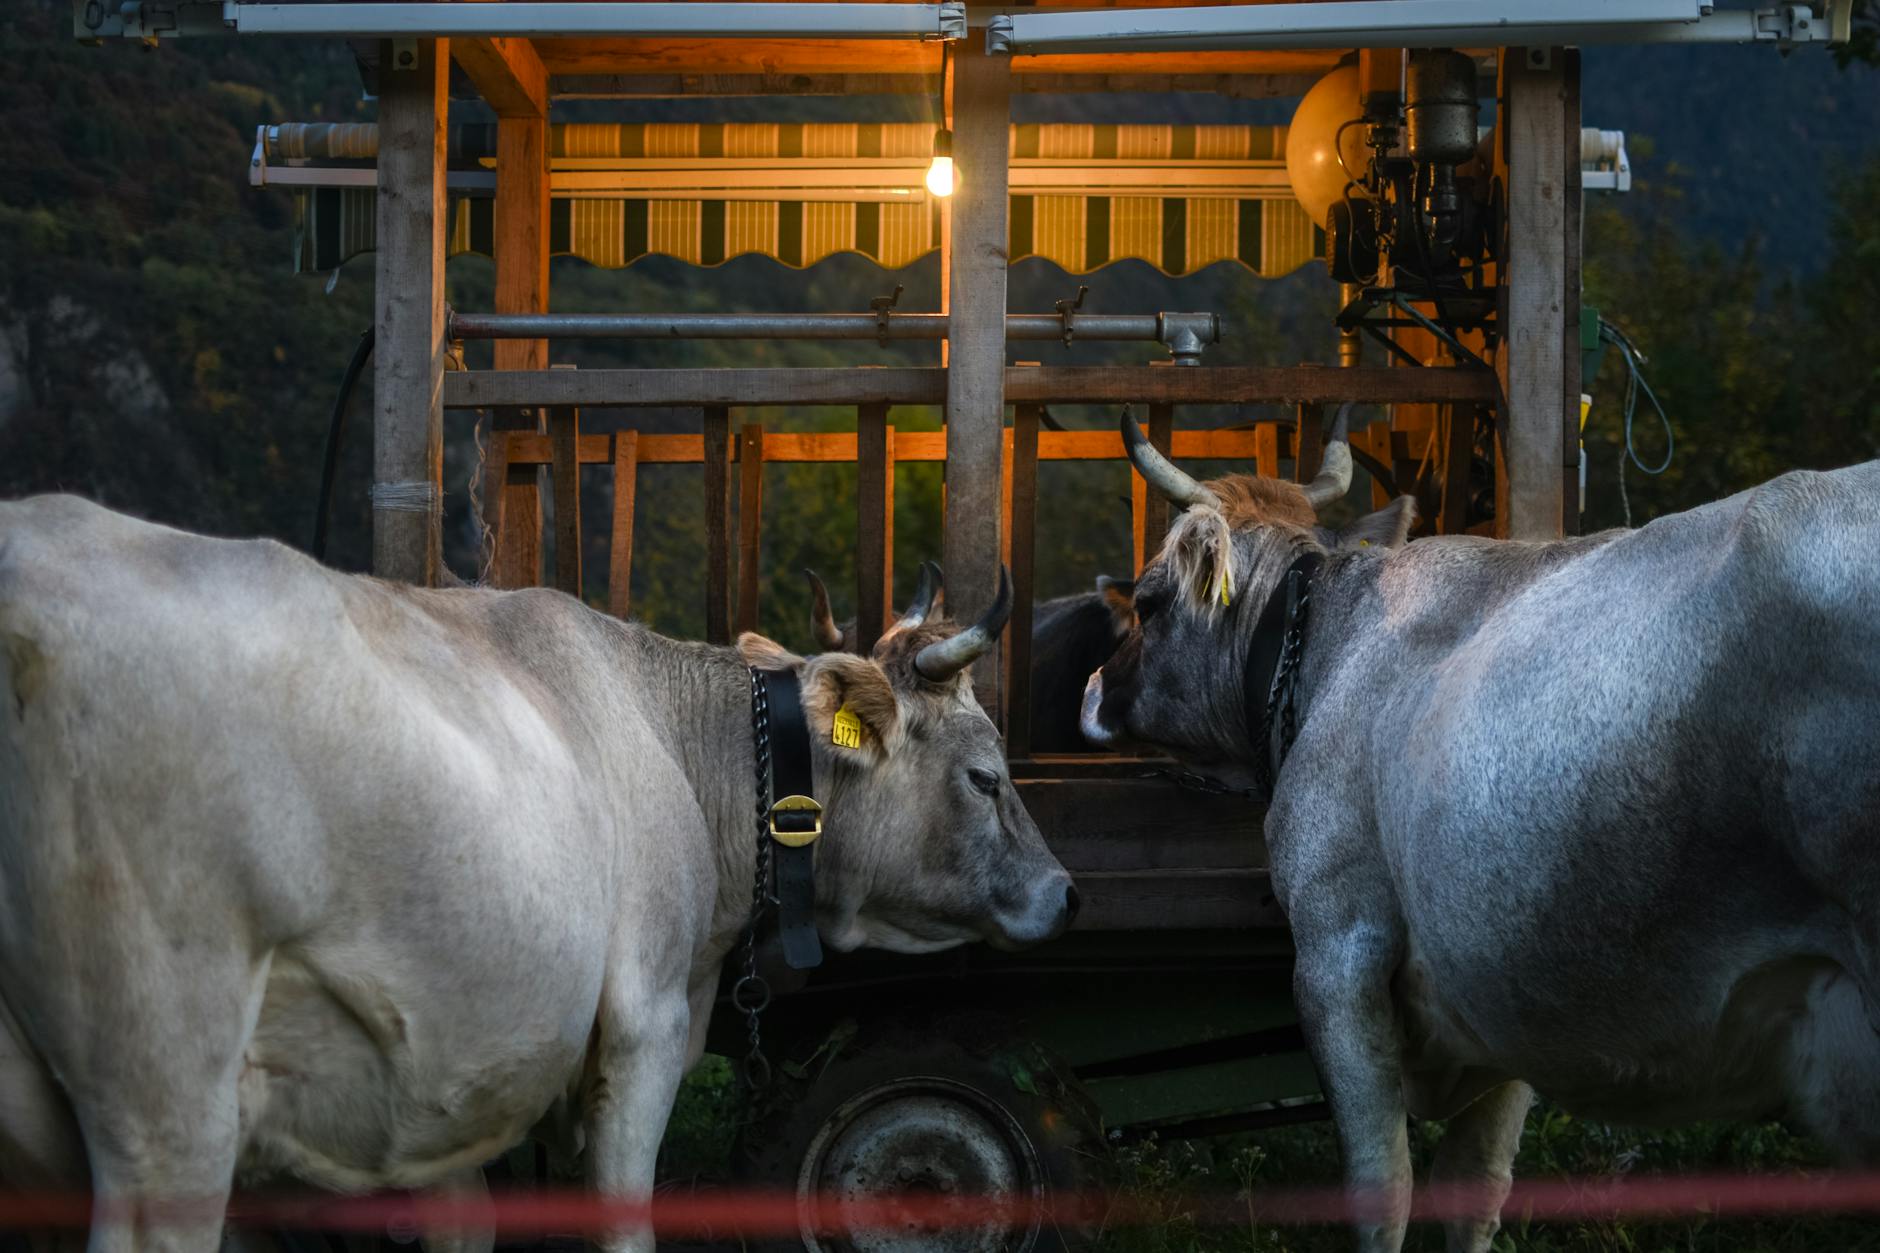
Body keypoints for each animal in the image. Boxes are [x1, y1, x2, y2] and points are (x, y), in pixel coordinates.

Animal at [0, 496, 1075, 1249]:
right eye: (985, 775)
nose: (1066, 891)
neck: (674, 737)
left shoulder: (452, 1077)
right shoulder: (644, 1022)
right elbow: (620, 1216)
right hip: (167, 1094)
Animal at [1082, 417, 1880, 1249]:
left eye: (1148, 599)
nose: (1094, 687)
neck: (1330, 651)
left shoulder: (1337, 952)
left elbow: (1382, 1189)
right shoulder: (1499, 982)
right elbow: (1475, 1185)